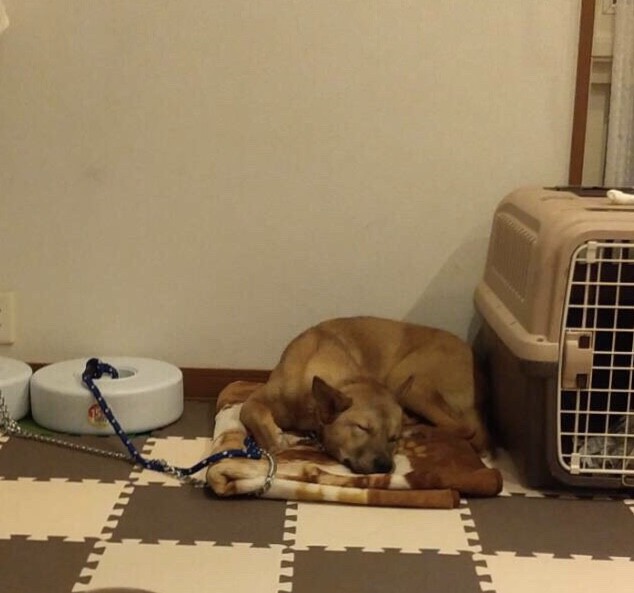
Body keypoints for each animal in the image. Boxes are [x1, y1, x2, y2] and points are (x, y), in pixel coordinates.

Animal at [240, 316, 489, 474]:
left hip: (409, 379)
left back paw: (421, 430)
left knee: (464, 428)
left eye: (393, 437)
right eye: (362, 428)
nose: (385, 467)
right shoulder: (257, 399)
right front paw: (273, 440)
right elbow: (251, 412)